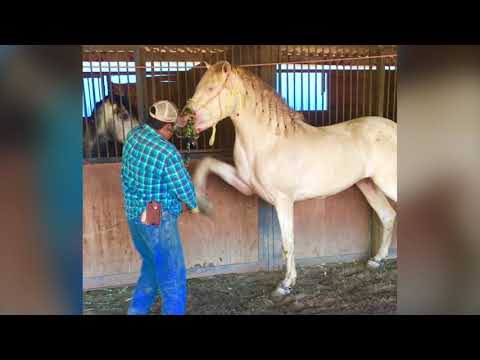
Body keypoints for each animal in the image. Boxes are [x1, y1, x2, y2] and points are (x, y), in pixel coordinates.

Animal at [181, 61, 398, 298]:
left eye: (211, 88)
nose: (185, 119)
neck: (268, 142)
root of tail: (393, 127)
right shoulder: (245, 185)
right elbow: (208, 163)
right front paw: (202, 202)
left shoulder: (283, 200)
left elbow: (288, 242)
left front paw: (286, 284)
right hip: (368, 184)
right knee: (388, 216)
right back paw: (377, 260)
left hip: (387, 183)